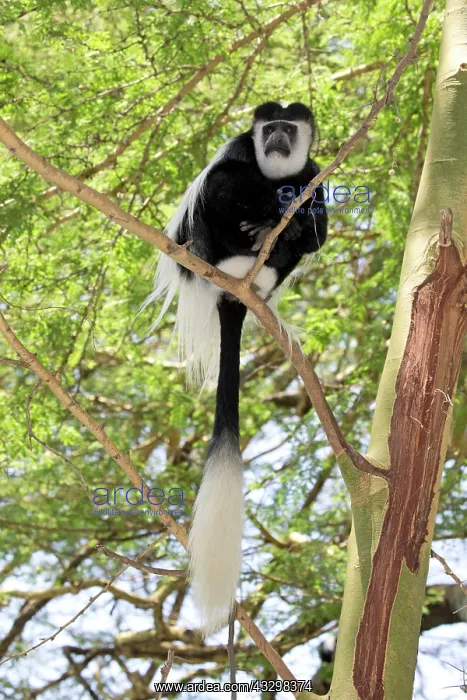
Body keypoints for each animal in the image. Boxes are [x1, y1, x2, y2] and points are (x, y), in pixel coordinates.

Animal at [144, 101, 327, 636]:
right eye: (269, 130)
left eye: (289, 129)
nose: (277, 140)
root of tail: (233, 290)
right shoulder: (242, 151)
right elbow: (226, 181)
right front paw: (268, 212)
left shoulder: (313, 173)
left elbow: (319, 229)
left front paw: (290, 223)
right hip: (205, 246)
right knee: (217, 197)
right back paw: (248, 236)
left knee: (297, 240)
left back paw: (274, 243)